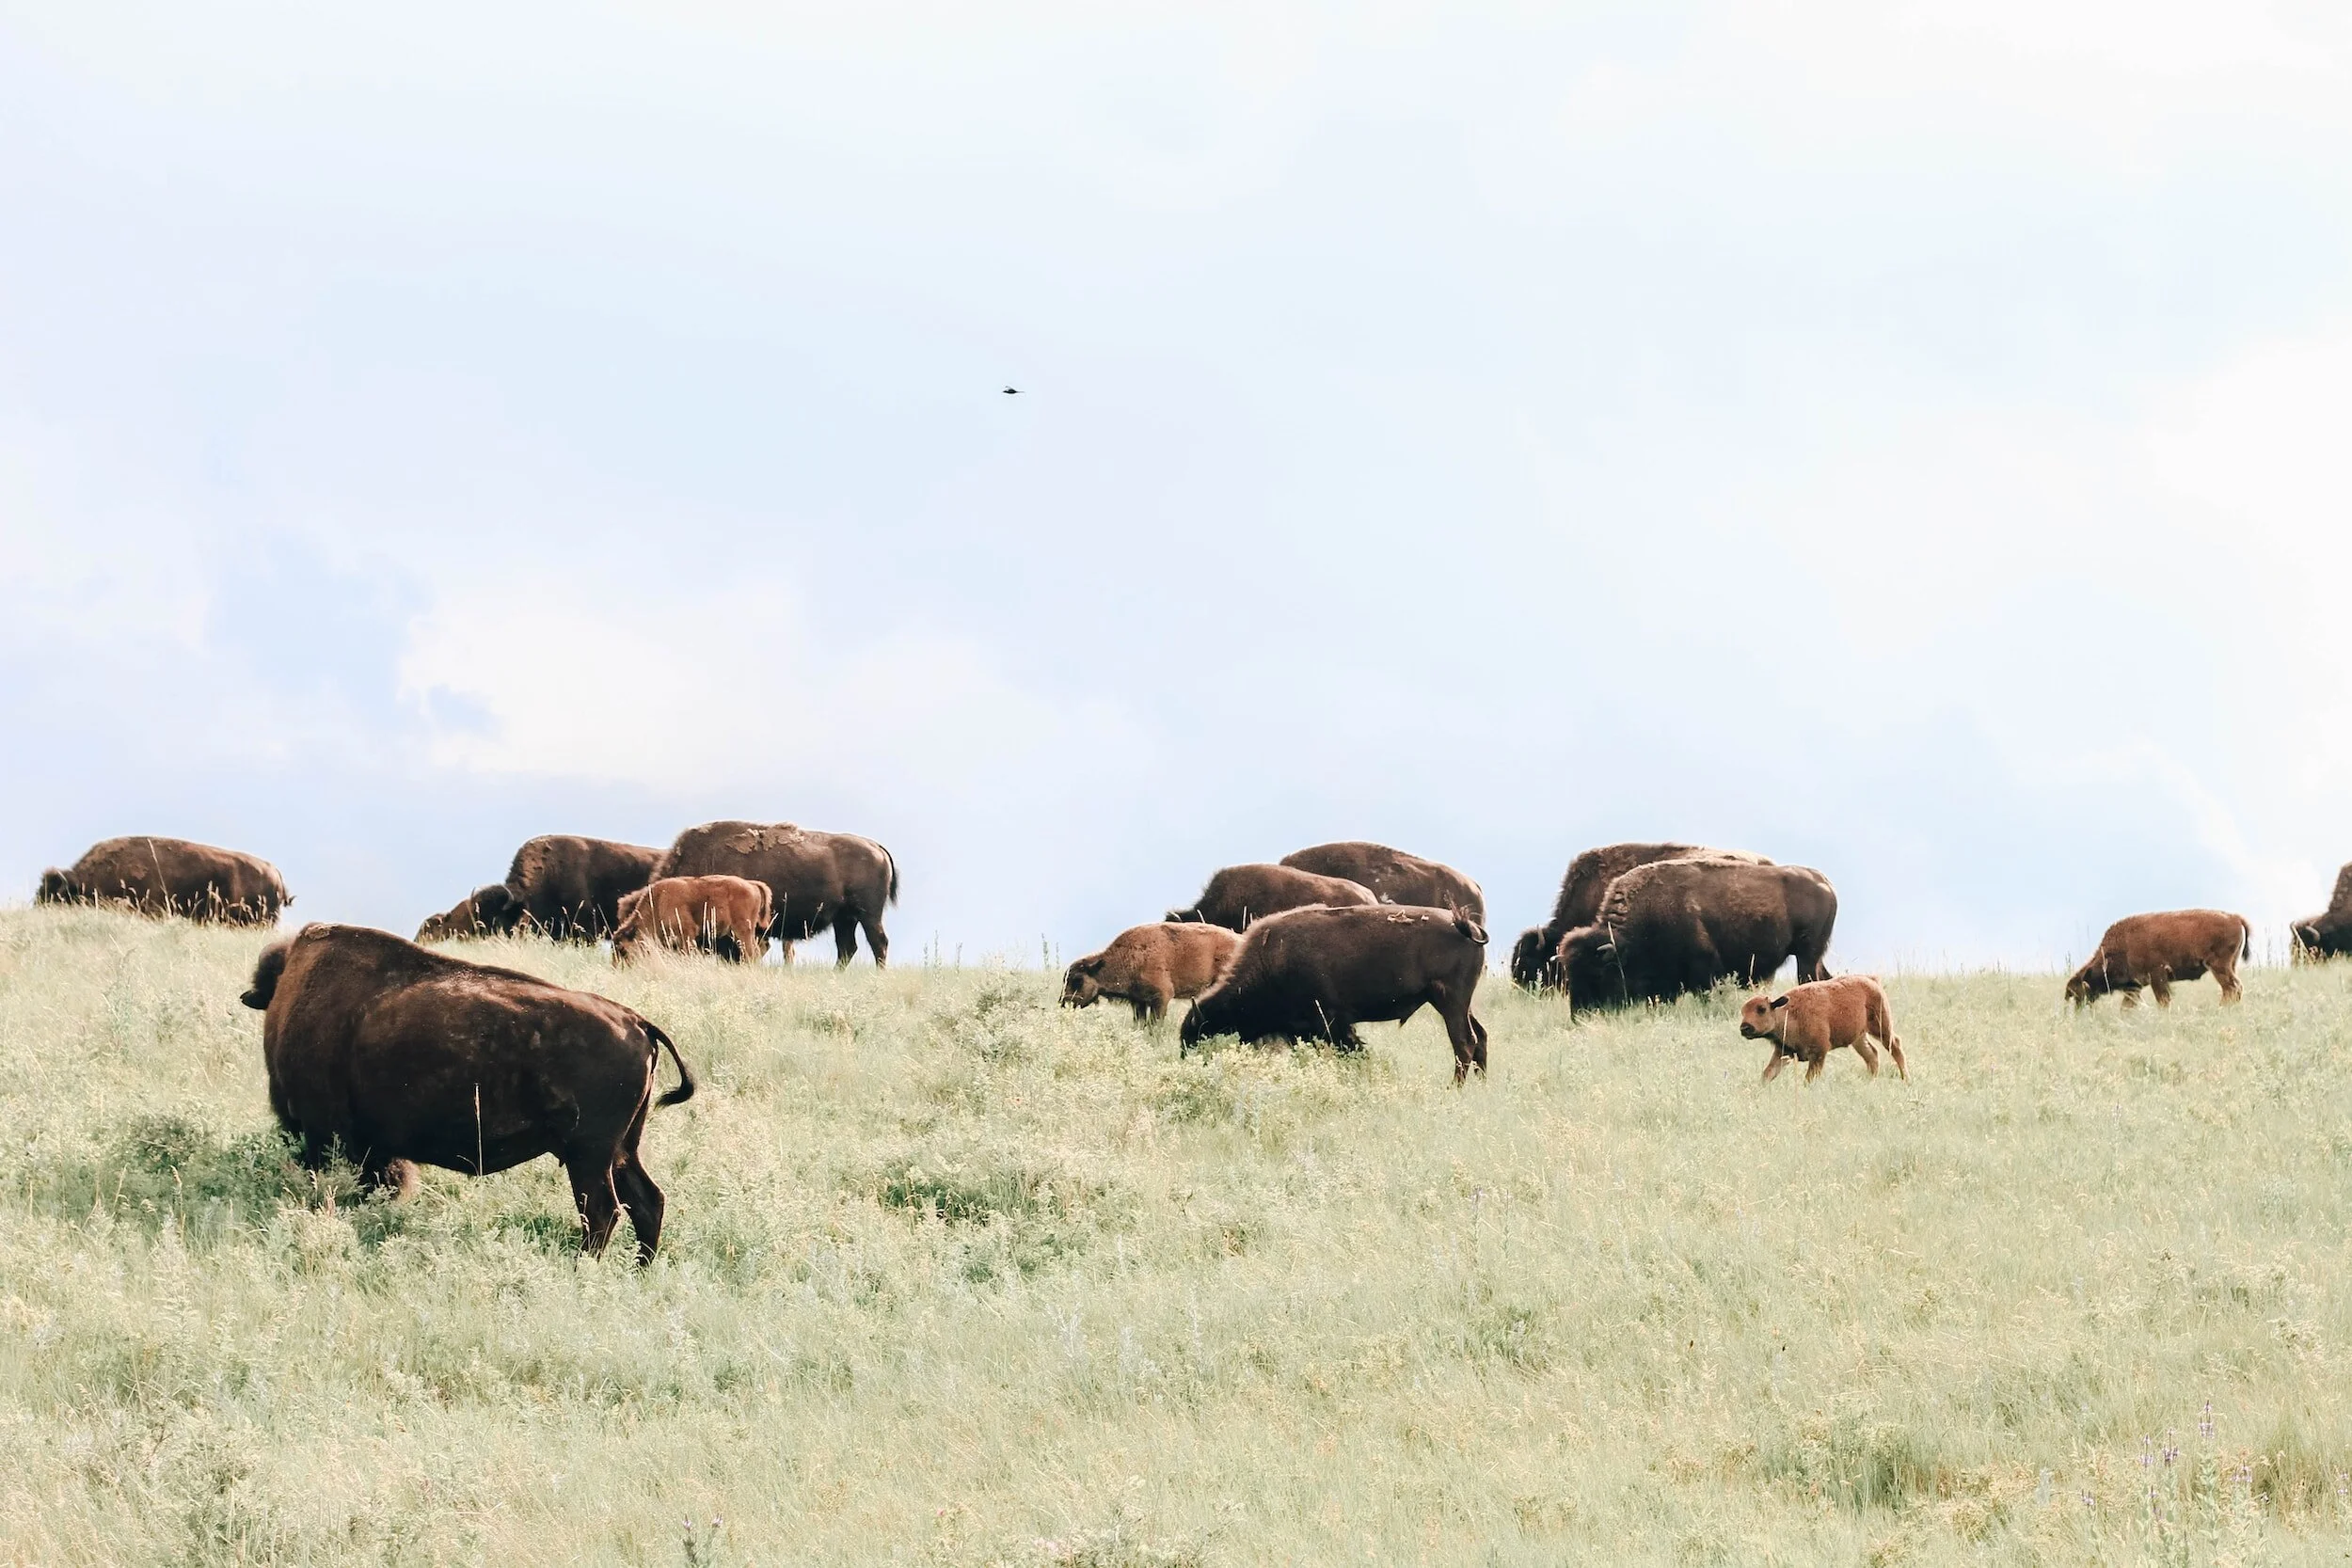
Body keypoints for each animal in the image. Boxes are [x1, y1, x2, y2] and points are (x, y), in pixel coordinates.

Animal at [240, 923, 694, 1263]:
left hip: (590, 1155)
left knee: (603, 1211)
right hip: (620, 1150)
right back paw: (639, 1269)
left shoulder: (329, 1134)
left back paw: (582, 1268)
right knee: (647, 1201)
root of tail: (636, 1021)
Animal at [1180, 904, 1490, 1083]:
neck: (1271, 961)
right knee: (1480, 1037)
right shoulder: (1306, 1031)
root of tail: (1468, 928)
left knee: (1464, 1043)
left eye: (1196, 1038)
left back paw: (1455, 1089)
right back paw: (1481, 1085)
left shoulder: (1331, 1024)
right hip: (1455, 1003)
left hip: (1451, 1002)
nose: (1186, 1063)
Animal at [1557, 857, 1836, 1013]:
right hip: (1814, 956)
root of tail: (1825, 882)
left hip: (1806, 955)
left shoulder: (1703, 967)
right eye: (1570, 974)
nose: (1579, 1014)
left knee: (1808, 979)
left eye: (1598, 973)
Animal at [2066, 910, 2249, 1009]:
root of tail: (2234, 917)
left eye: (2078, 993)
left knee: (2231, 987)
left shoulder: (2157, 976)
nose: (2078, 1011)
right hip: (2230, 965)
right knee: (2234, 988)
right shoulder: (2134, 986)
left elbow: (2163, 1000)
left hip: (2219, 966)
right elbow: (2127, 1007)